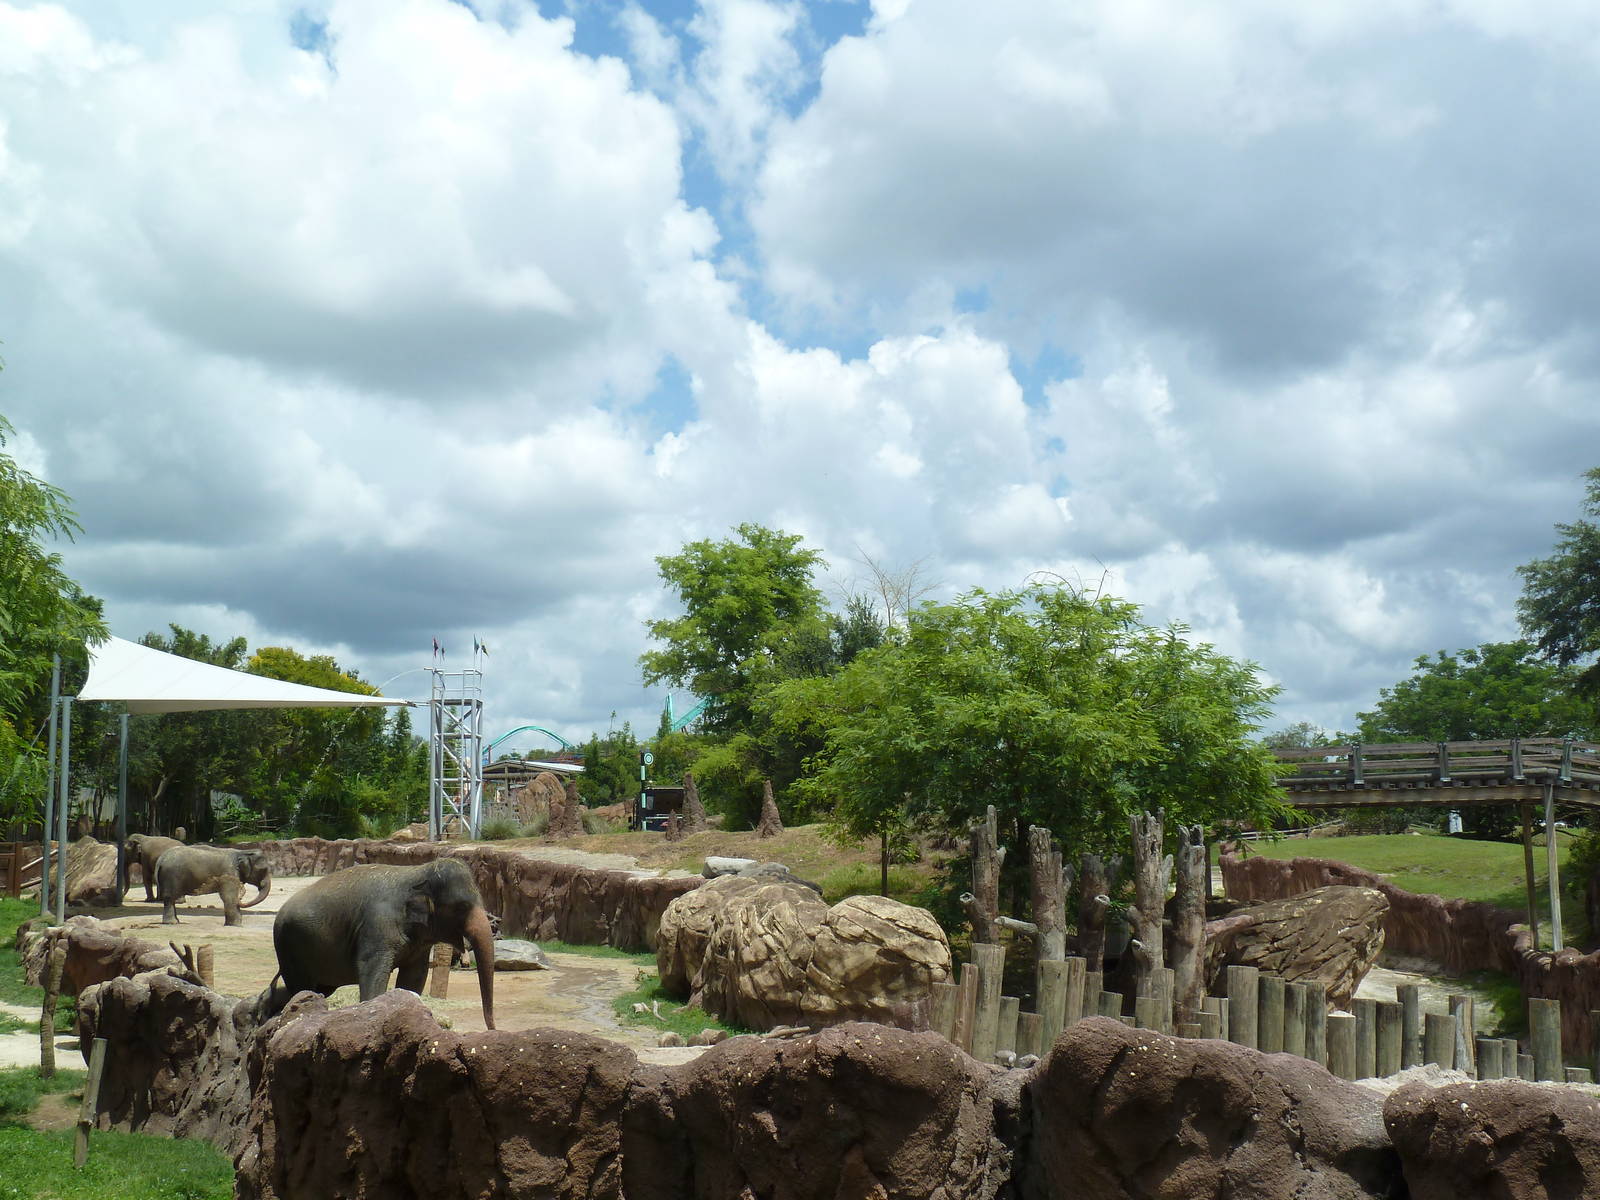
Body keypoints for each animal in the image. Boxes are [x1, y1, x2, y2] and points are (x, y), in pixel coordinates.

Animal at [267, 858, 495, 1029]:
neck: (418, 872)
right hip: (288, 946)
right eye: (461, 907)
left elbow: (414, 977)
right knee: (301, 986)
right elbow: (371, 971)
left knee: (317, 988)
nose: (492, 1029)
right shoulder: (377, 926)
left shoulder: (419, 945)